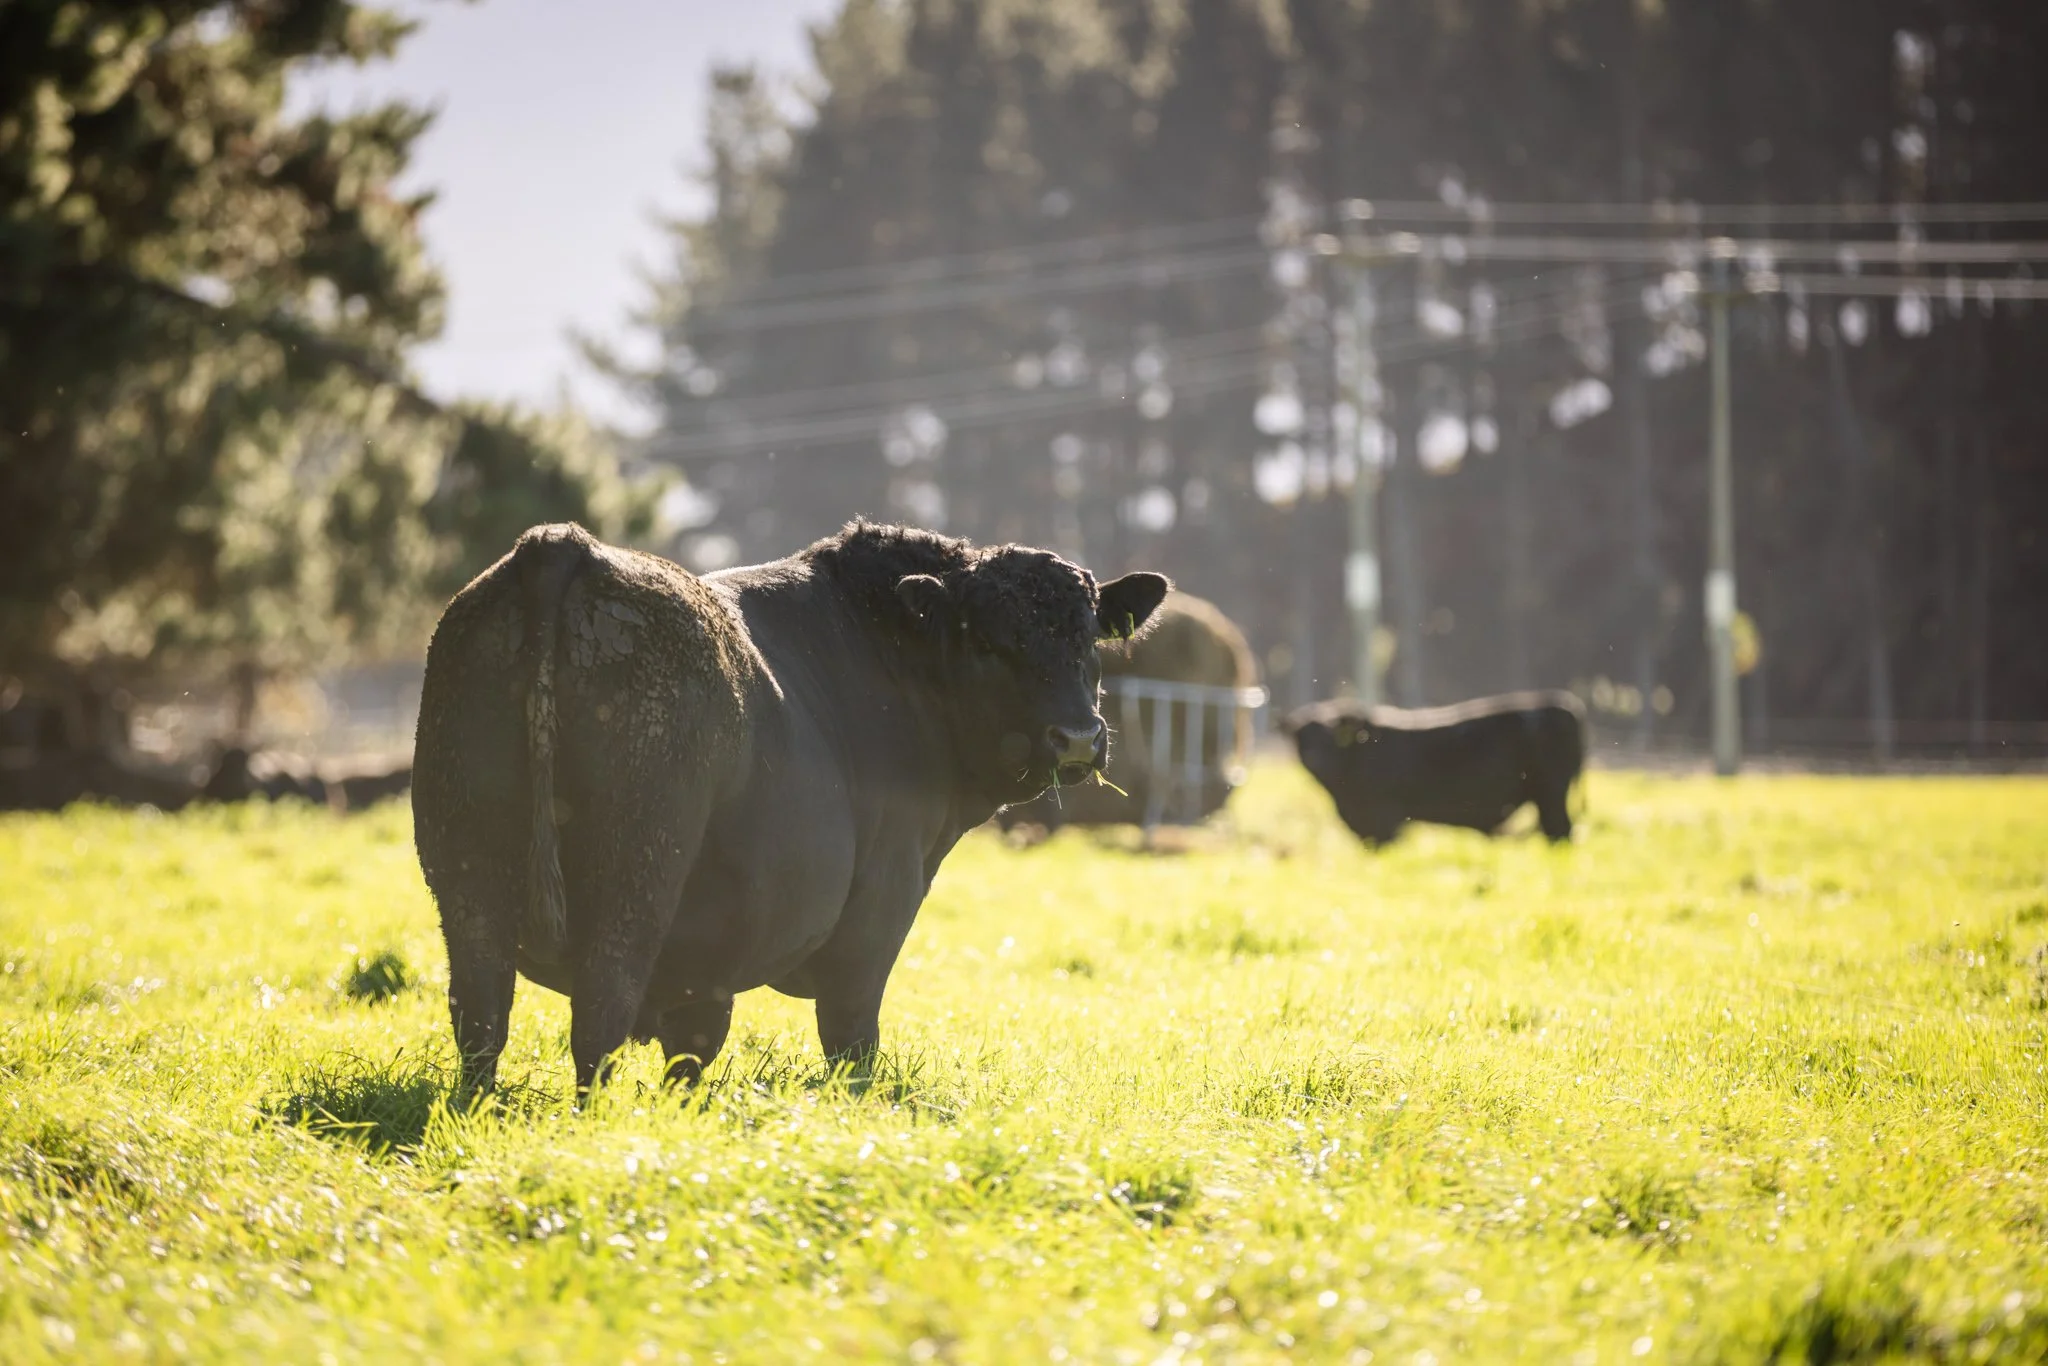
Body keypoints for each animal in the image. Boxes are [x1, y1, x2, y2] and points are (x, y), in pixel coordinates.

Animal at [411, 521, 1168, 1095]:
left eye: (1088, 638)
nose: (1078, 737)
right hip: (634, 876)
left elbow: (692, 1048)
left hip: (467, 877)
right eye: (987, 639)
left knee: (480, 1018)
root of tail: (564, 544)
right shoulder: (881, 904)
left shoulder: (705, 967)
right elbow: (850, 1039)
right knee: (599, 1016)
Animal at [1284, 691, 1585, 847]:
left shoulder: (1384, 820)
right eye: (1301, 738)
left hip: (1552, 793)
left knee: (1560, 830)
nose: (1314, 758)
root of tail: (1565, 704)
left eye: (1332, 737)